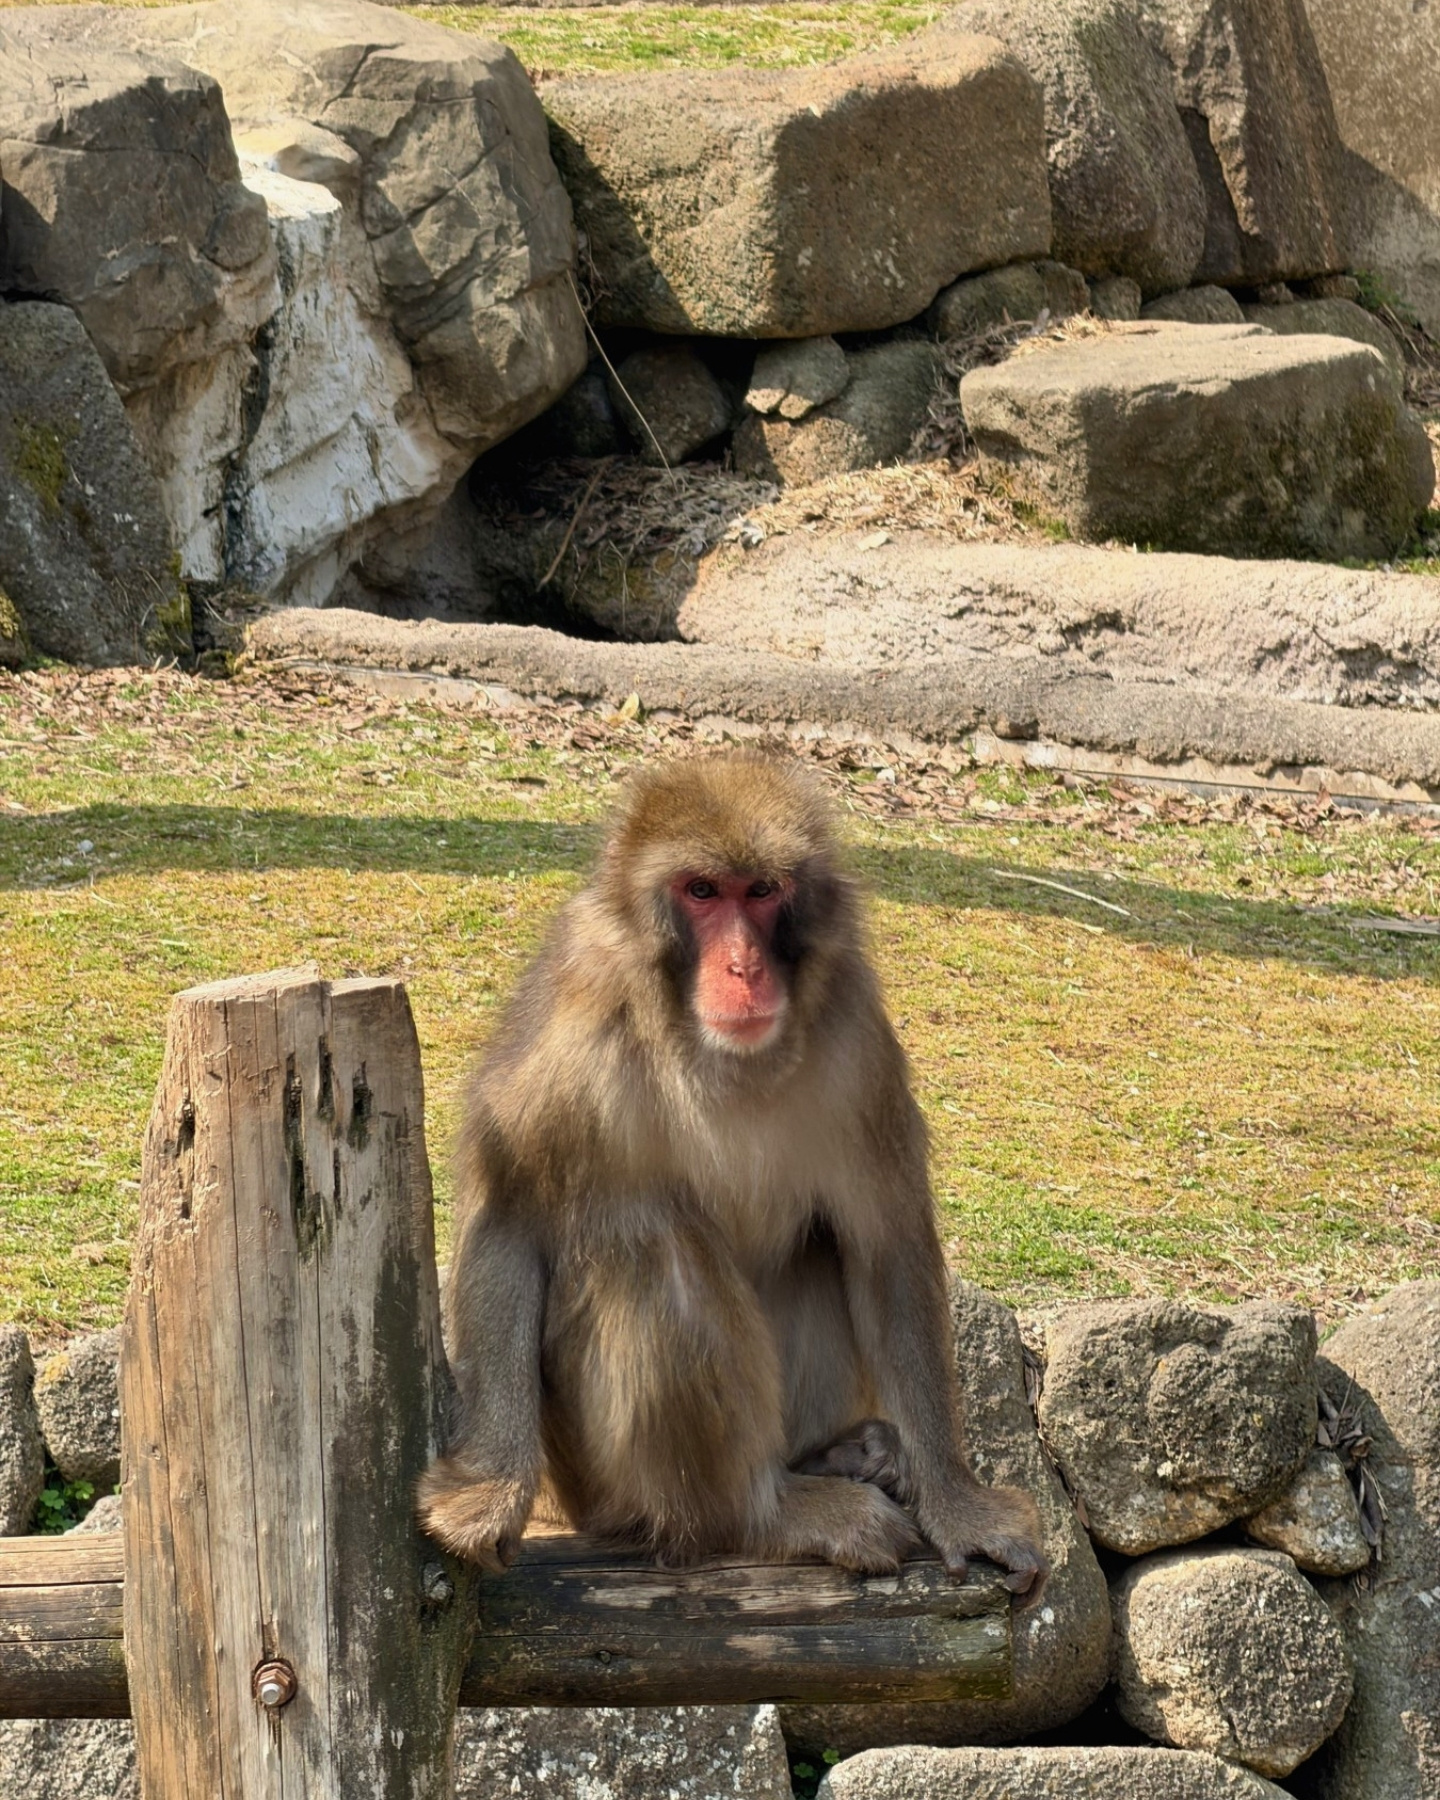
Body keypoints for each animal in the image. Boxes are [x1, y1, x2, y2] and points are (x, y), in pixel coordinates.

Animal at [418, 749, 1047, 1597]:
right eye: (702, 892)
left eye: (763, 891)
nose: (744, 966)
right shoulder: (578, 1013)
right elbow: (511, 1214)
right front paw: (487, 1492)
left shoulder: (856, 1032)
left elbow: (886, 1246)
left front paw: (957, 1502)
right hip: (597, 1484)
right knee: (649, 1242)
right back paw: (761, 1515)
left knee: (816, 1243)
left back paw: (840, 1458)